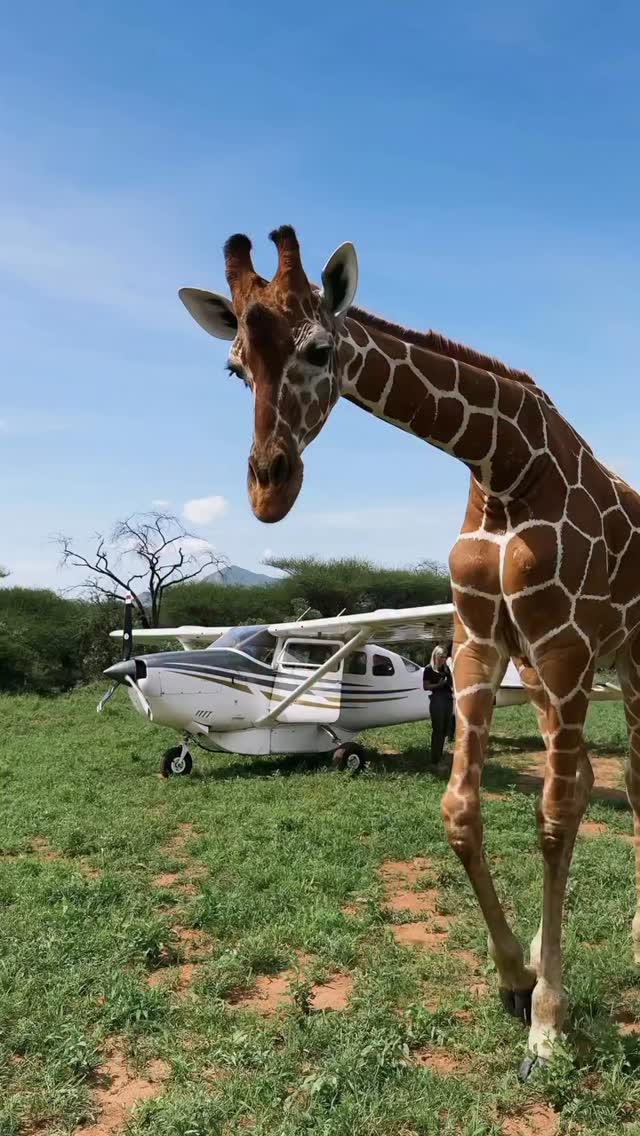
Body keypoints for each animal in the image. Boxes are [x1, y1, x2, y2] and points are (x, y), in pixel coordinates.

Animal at [179, 225, 640, 1073]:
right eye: (235, 368)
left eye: (320, 349)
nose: (268, 488)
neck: (504, 462)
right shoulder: (483, 640)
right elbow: (461, 809)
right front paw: (516, 976)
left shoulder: (562, 644)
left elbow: (557, 815)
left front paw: (549, 1021)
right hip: (587, 666)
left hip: (629, 658)